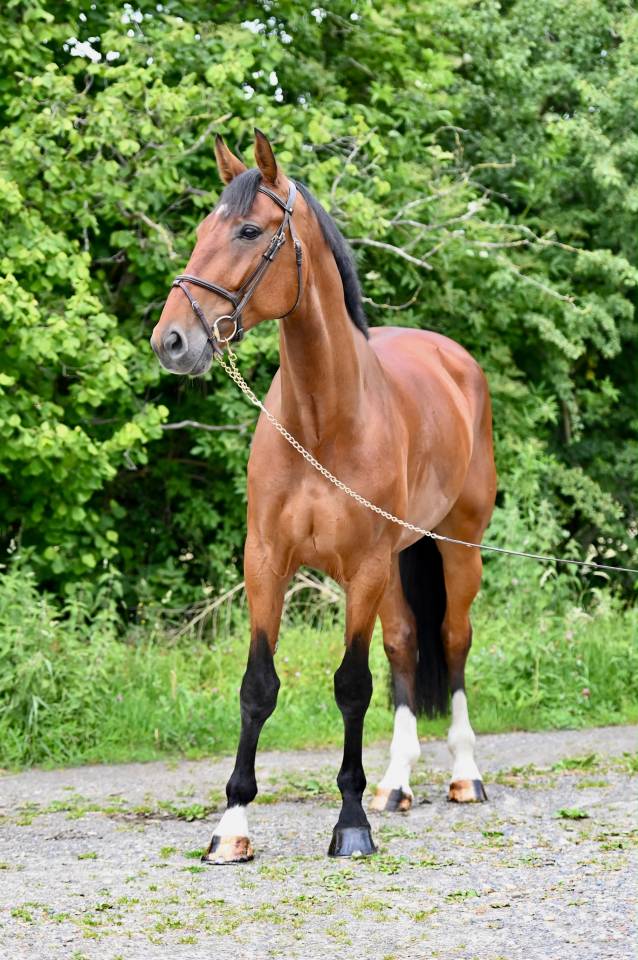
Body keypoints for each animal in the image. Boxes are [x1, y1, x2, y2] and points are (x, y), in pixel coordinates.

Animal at [151, 129, 497, 863]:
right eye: (200, 231)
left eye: (250, 230)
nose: (172, 341)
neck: (322, 419)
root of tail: (455, 359)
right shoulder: (265, 562)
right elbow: (259, 686)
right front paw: (232, 826)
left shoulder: (361, 569)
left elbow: (352, 686)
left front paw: (351, 824)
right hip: (398, 561)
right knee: (405, 645)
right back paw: (395, 785)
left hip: (458, 547)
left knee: (452, 642)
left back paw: (463, 775)